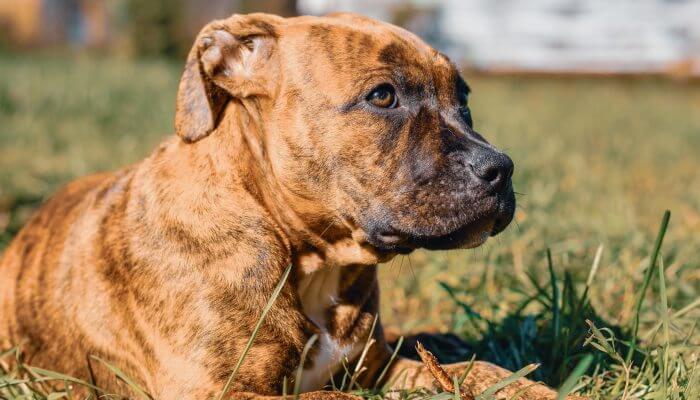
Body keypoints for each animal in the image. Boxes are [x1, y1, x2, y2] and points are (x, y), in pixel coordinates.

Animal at [0, 12, 584, 400]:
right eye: (383, 96)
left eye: (463, 98)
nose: (501, 168)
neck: (310, 258)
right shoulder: (220, 392)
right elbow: (334, 399)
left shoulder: (379, 366)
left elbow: (470, 368)